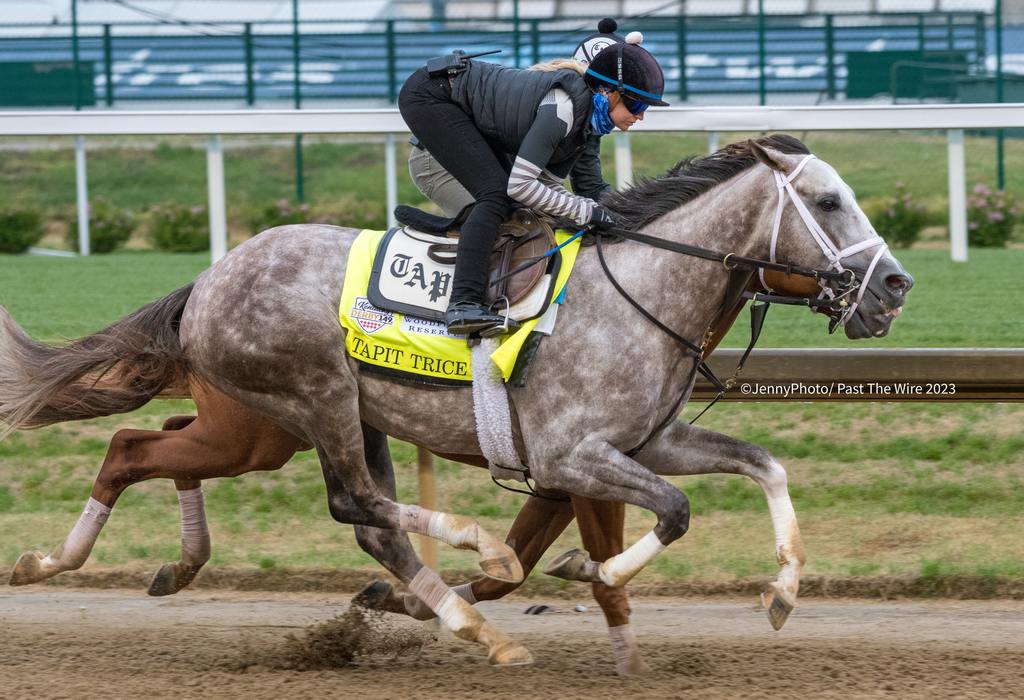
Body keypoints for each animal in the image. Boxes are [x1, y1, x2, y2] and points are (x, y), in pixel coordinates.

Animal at [0, 134, 913, 663]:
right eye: (827, 201)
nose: (894, 288)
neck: (643, 290)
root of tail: (212, 276)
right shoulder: (572, 454)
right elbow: (673, 512)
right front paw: (589, 568)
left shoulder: (645, 442)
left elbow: (763, 465)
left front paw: (783, 593)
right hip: (312, 399)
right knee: (347, 501)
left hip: (285, 427)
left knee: (172, 454)